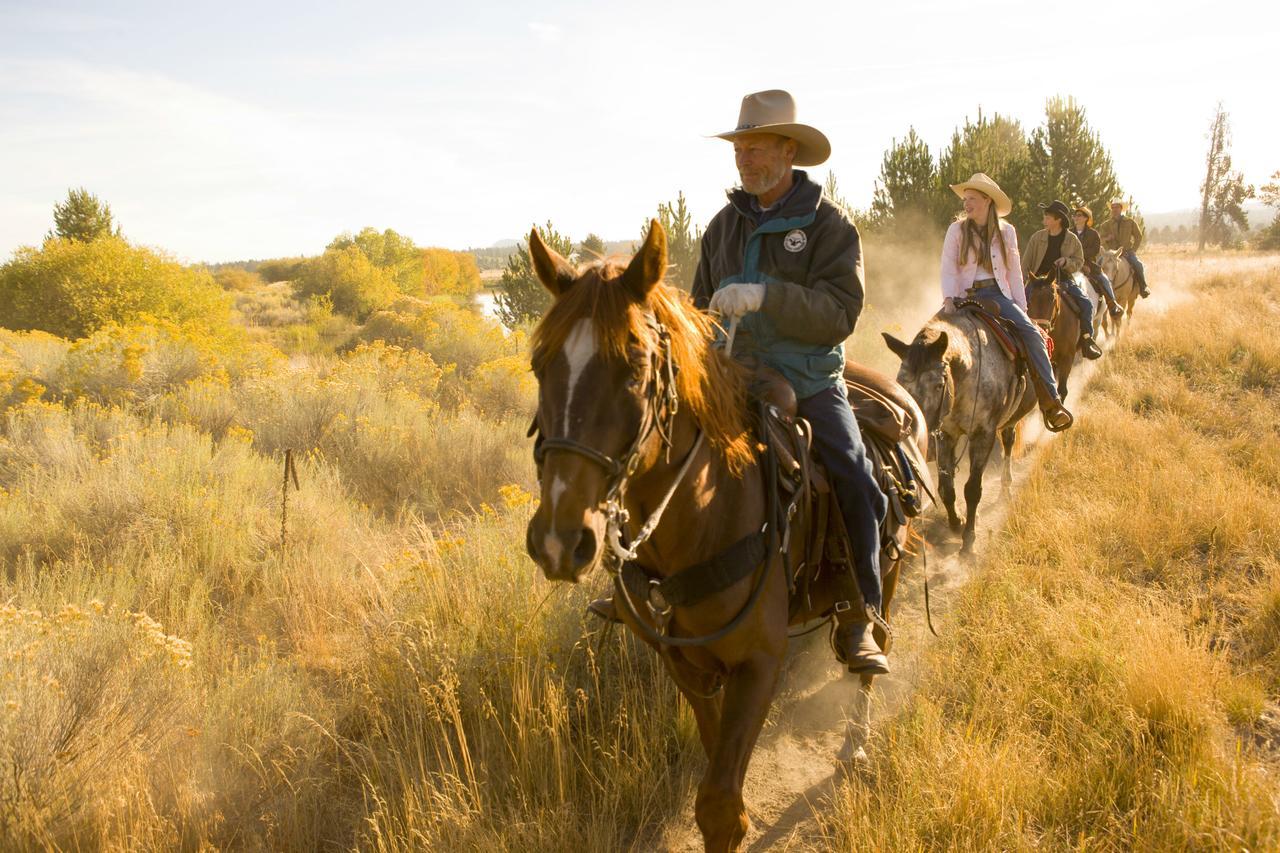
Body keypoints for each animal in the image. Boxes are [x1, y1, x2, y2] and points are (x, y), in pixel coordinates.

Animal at [524, 220, 926, 850]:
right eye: (541, 365)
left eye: (637, 367)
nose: (561, 541)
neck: (703, 517)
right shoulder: (686, 666)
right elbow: (716, 783)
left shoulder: (758, 664)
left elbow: (720, 809)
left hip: (887, 569)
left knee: (871, 648)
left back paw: (855, 738)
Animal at [885, 311, 1034, 550]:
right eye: (901, 384)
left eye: (938, 385)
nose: (918, 437)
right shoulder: (946, 436)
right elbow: (946, 488)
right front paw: (956, 523)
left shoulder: (982, 436)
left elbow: (972, 490)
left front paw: (968, 539)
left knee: (1008, 442)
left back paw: (1006, 487)